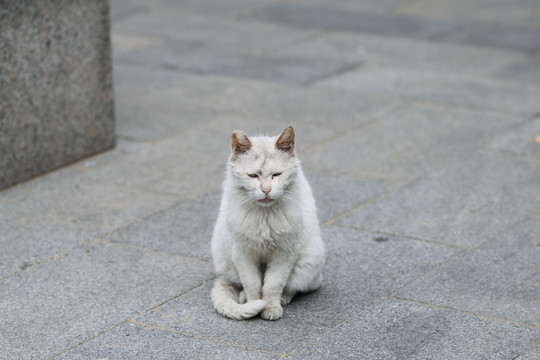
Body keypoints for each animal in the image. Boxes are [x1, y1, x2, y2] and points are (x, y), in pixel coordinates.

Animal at [209, 126, 322, 320]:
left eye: (277, 174)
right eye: (253, 175)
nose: (266, 190)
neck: (264, 216)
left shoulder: (284, 254)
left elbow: (273, 284)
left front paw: (270, 308)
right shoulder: (243, 254)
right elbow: (253, 284)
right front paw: (255, 306)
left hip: (306, 265)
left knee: (294, 286)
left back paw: (283, 299)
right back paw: (244, 298)